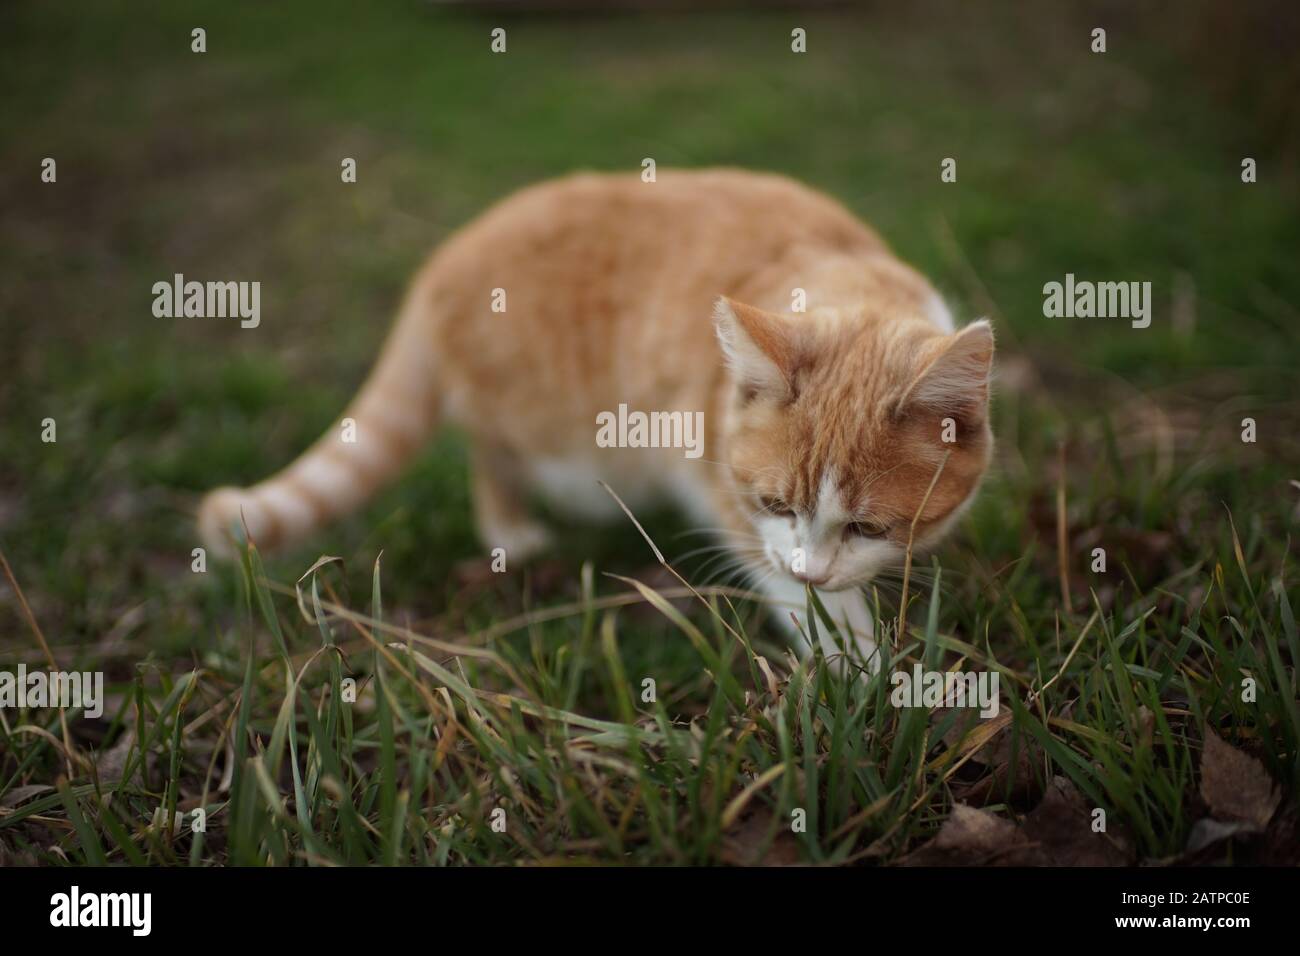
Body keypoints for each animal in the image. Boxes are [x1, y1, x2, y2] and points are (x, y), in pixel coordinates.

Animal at [200, 170, 993, 665]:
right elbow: (787, 584)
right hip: (557, 439)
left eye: (869, 527)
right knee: (490, 452)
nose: (814, 571)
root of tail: (440, 261)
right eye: (775, 504)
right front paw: (857, 666)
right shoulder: (722, 491)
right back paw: (511, 532)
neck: (838, 274)